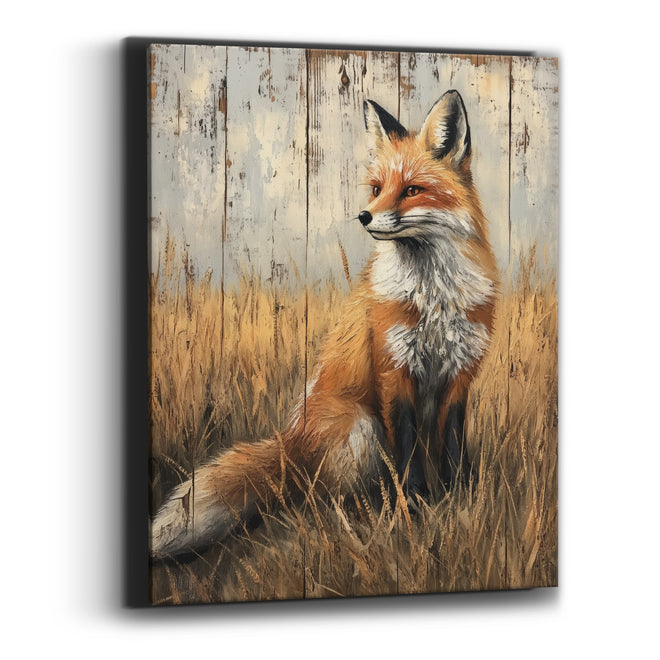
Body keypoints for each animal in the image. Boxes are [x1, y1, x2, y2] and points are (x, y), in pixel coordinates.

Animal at [151, 89, 498, 559]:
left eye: (412, 190)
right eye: (377, 189)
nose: (364, 216)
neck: (434, 299)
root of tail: (292, 440)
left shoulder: (461, 374)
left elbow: (455, 451)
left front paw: (459, 502)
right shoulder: (394, 369)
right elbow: (406, 456)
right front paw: (412, 509)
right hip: (361, 425)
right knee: (319, 497)